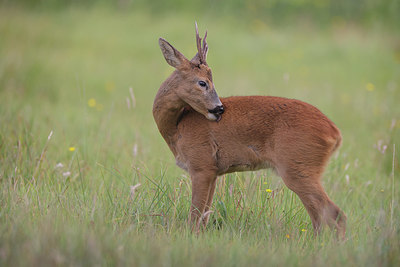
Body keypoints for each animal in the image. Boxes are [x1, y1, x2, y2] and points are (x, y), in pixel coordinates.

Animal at [152, 24, 346, 239]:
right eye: (202, 82)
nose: (219, 108)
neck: (177, 127)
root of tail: (335, 133)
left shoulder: (201, 165)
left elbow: (195, 216)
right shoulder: (214, 171)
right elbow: (204, 216)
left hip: (298, 166)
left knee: (335, 214)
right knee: (319, 217)